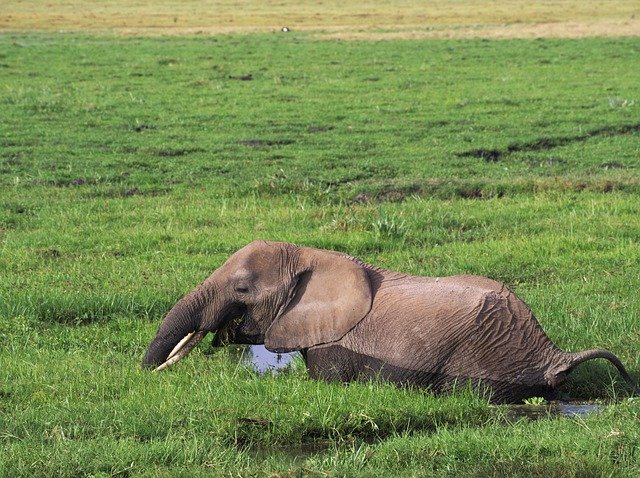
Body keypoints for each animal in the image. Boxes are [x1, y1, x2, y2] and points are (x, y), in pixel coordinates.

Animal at [141, 239, 640, 404]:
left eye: (242, 290)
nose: (141, 375)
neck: (310, 254)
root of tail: (552, 355)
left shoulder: (335, 345)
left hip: (485, 356)